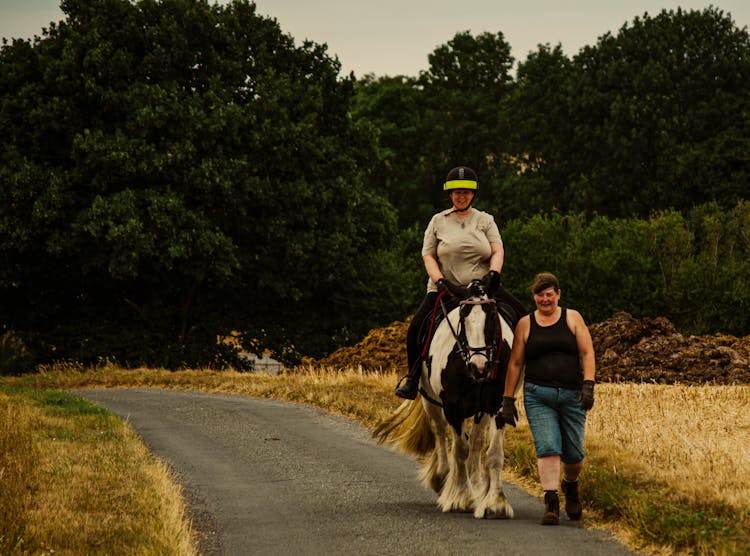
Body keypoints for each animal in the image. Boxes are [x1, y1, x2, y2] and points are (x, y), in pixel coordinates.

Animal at [374, 276, 520, 516]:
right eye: (463, 317)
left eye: (491, 315)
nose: (479, 366)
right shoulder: (452, 407)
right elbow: (459, 450)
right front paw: (461, 497)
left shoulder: (497, 405)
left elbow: (493, 454)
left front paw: (495, 502)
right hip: (430, 401)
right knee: (440, 432)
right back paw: (441, 477)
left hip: (481, 410)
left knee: (476, 442)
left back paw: (476, 483)